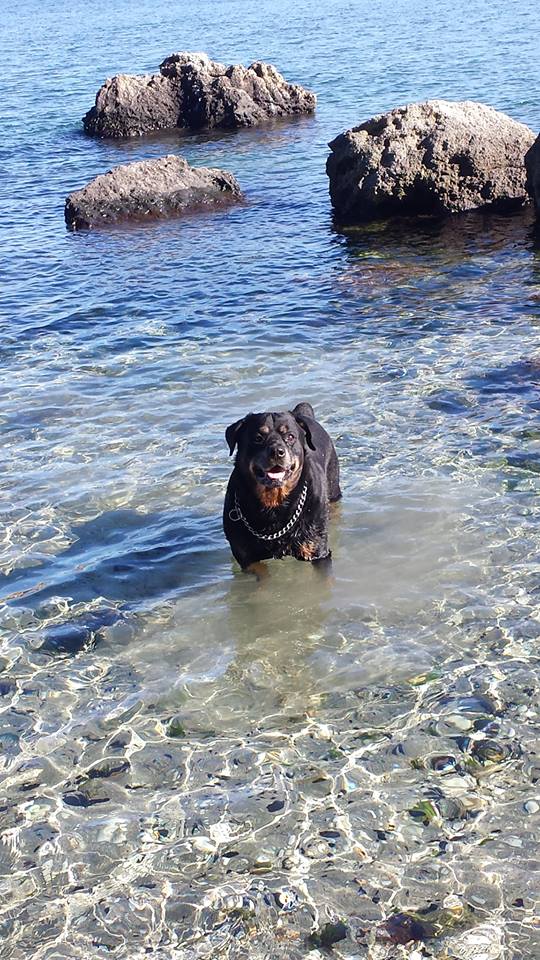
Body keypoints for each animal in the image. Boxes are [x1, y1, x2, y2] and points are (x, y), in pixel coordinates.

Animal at [221, 404, 340, 568]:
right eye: (258, 438)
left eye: (290, 436)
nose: (277, 451)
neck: (274, 505)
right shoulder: (247, 558)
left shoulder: (316, 549)